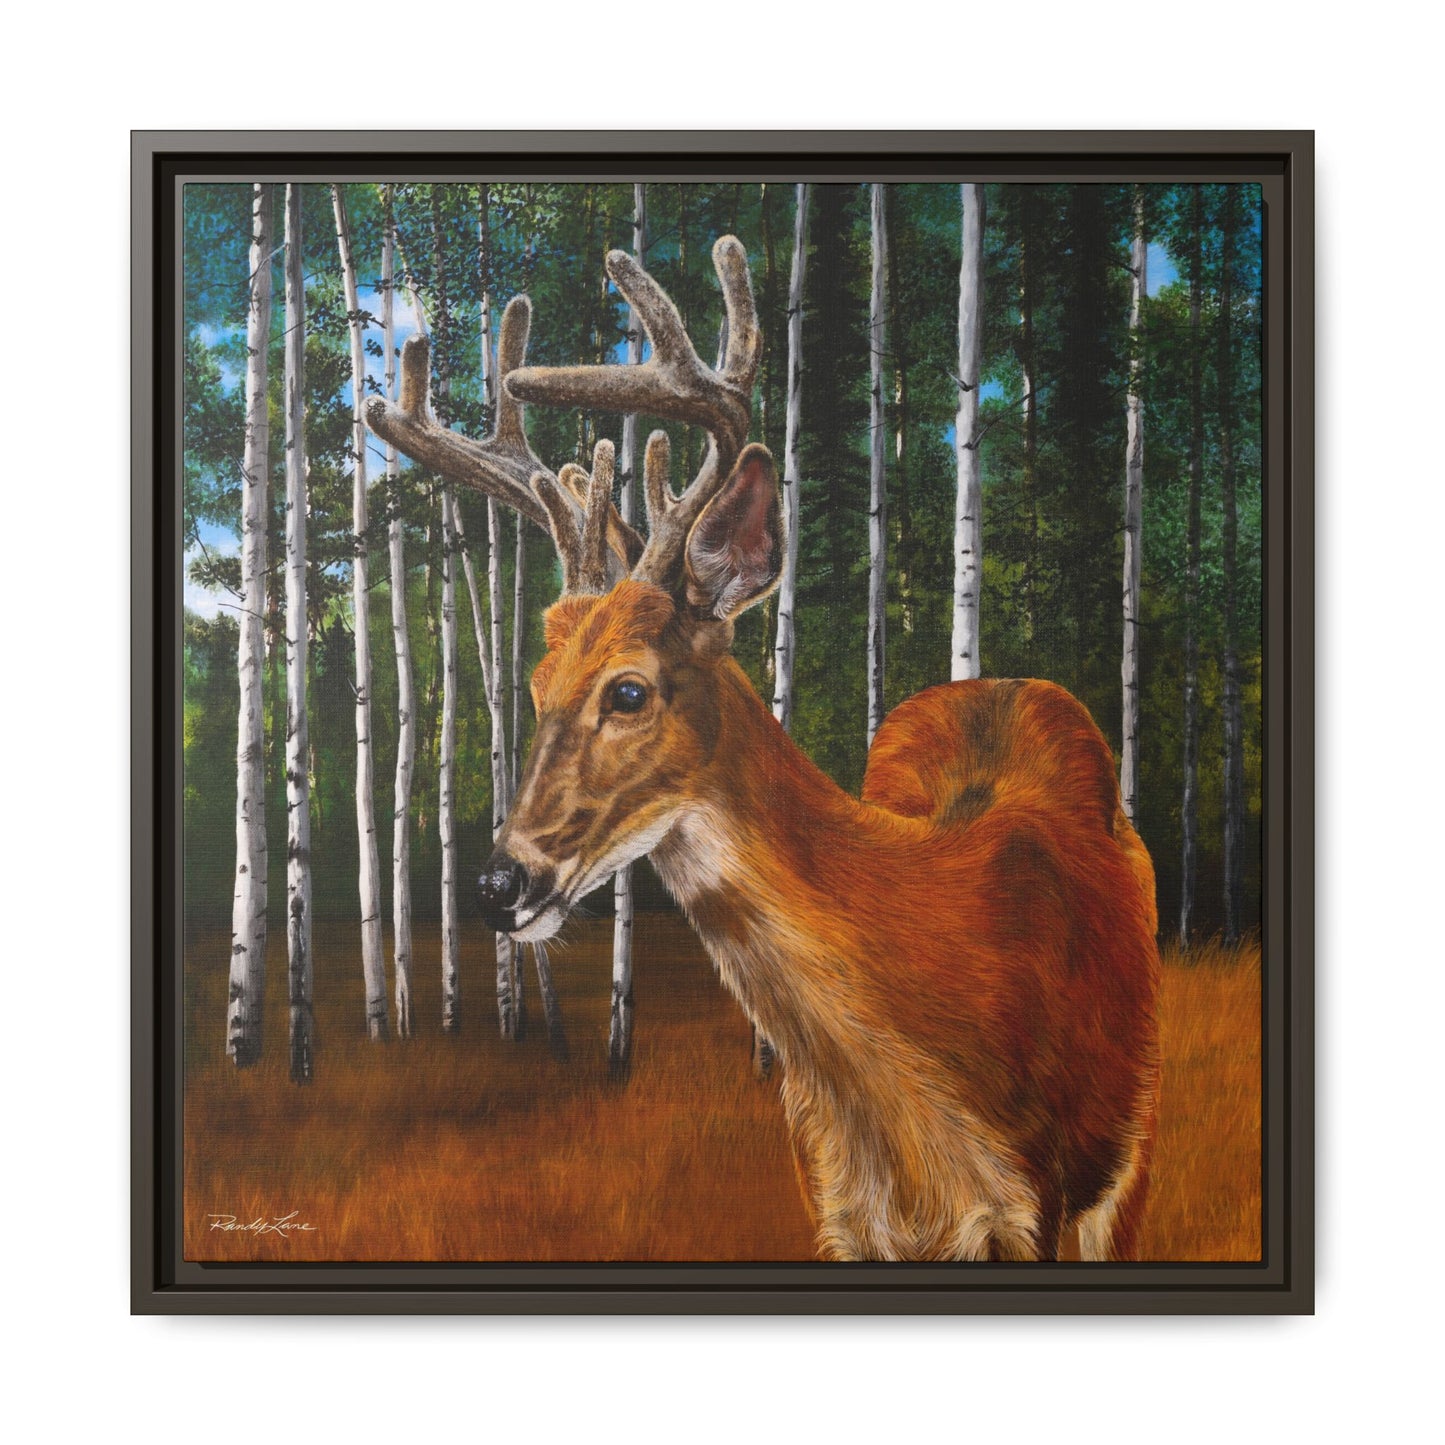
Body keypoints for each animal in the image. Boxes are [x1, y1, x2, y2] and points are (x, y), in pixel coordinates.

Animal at [366, 235, 1160, 1263]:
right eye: (535, 688)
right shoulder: (831, 1203)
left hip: (1128, 1157)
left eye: (628, 689)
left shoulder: (1039, 1205)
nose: (498, 883)